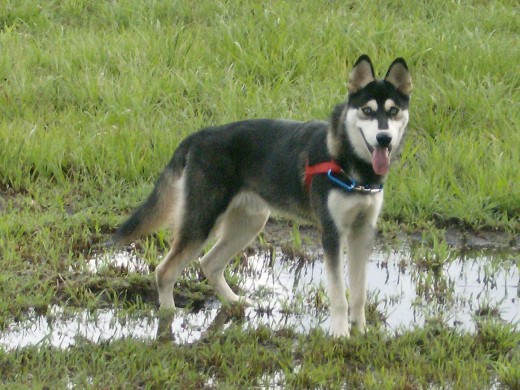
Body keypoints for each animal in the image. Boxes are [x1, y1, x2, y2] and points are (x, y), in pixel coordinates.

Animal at [111, 55, 412, 338]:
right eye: (367, 111)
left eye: (393, 111)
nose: (384, 138)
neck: (352, 165)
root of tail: (198, 137)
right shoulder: (332, 234)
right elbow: (339, 296)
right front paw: (340, 335)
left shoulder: (362, 232)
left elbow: (359, 293)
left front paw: (360, 332)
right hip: (201, 223)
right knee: (165, 272)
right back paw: (167, 320)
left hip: (249, 223)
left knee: (209, 263)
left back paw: (234, 301)